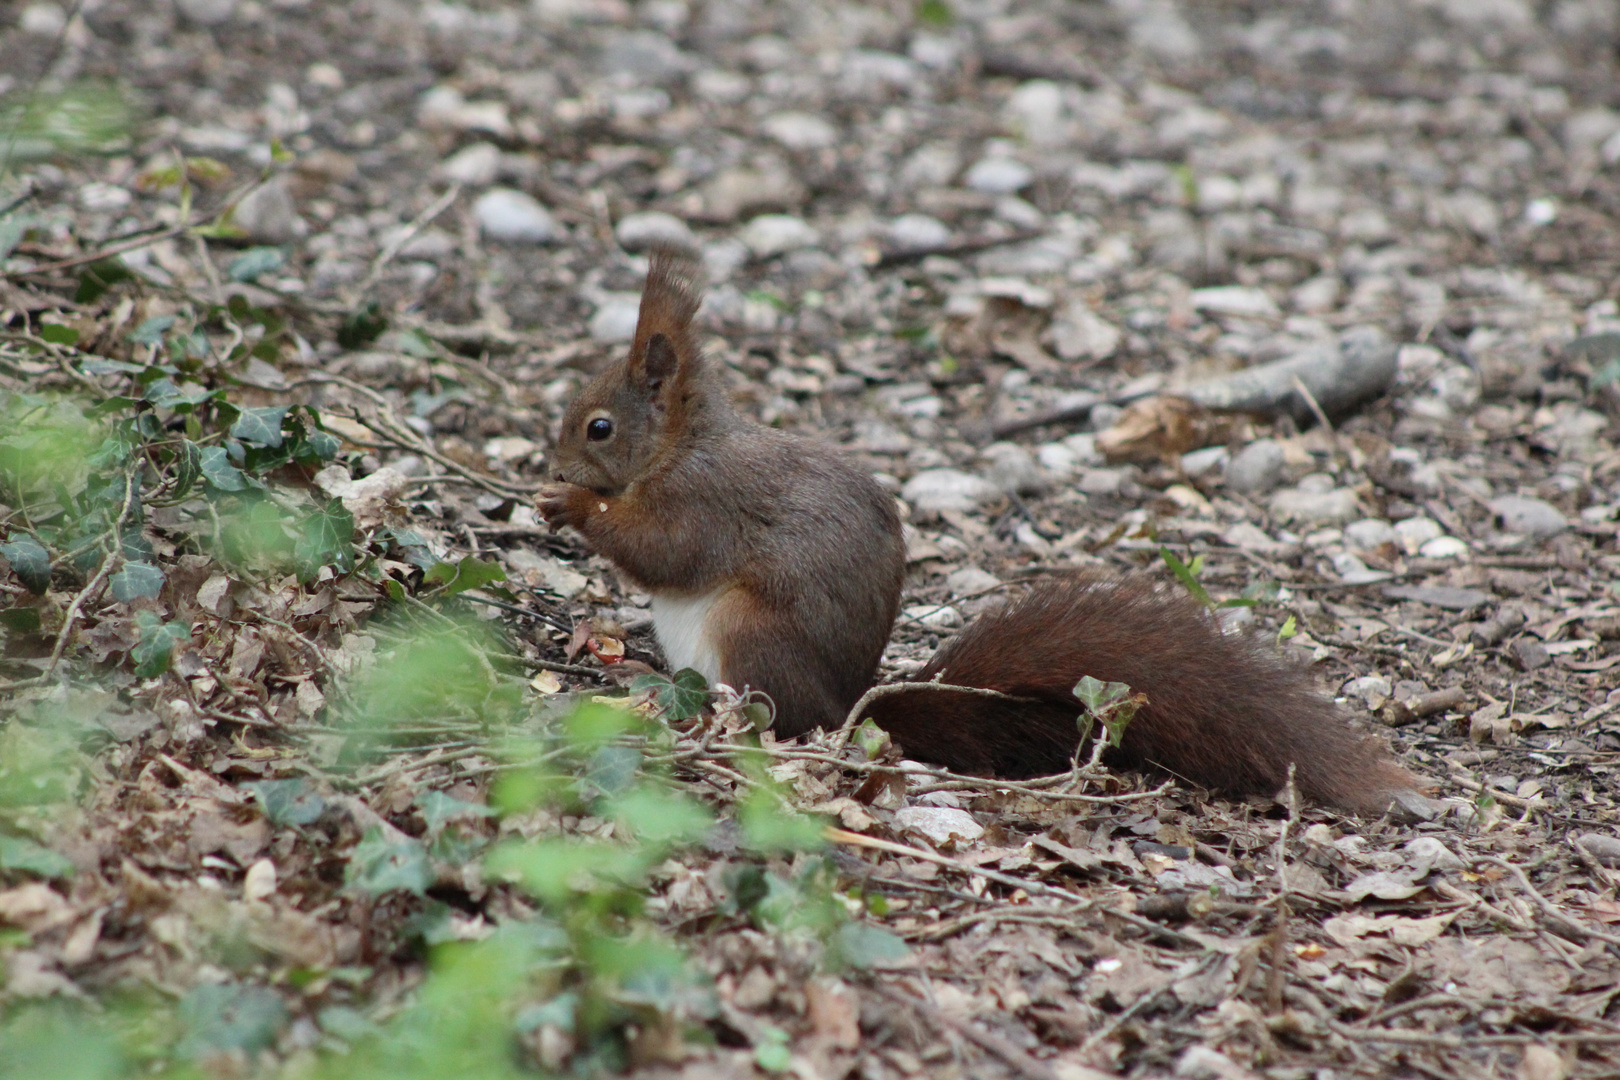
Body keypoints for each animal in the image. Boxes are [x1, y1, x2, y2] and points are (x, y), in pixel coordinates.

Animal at [541, 249, 1419, 816]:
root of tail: (847, 708)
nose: (551, 458)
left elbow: (665, 552)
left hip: (751, 635)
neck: (681, 445)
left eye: (598, 427)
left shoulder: (706, 502)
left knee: (771, 719)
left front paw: (573, 506)